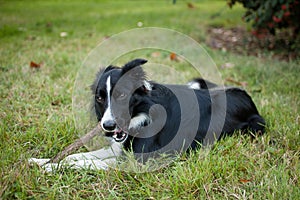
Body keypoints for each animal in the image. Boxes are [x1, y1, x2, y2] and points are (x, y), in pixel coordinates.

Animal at [29, 58, 264, 171]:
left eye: (122, 95)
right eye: (100, 98)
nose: (108, 126)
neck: (142, 113)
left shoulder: (139, 161)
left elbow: (86, 163)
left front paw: (53, 168)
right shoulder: (118, 149)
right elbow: (74, 155)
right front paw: (42, 161)